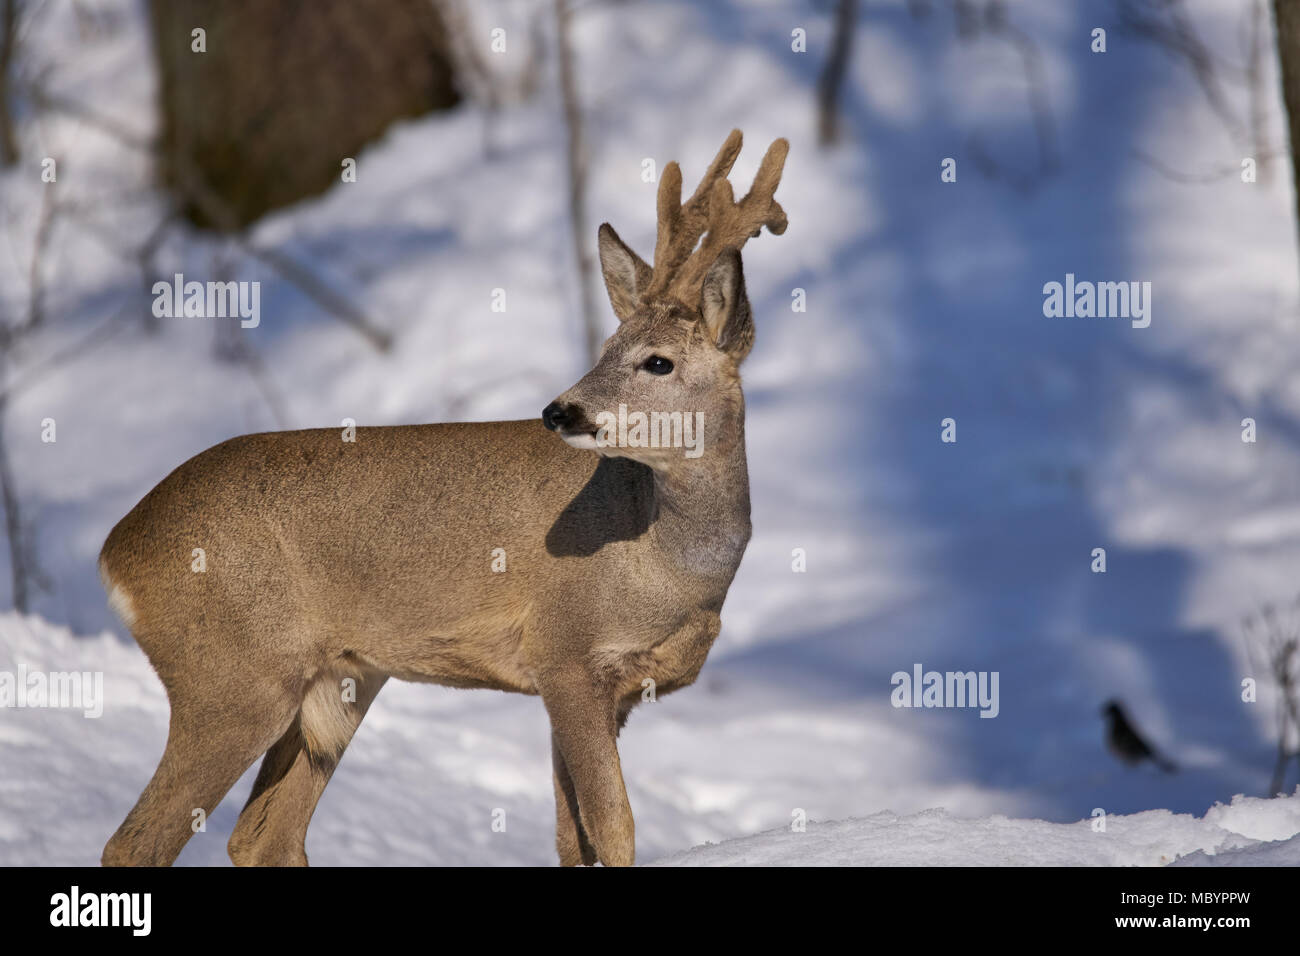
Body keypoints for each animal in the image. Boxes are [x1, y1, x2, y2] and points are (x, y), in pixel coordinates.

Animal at [98, 129, 788, 867]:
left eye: (658, 361)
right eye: (607, 347)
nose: (560, 410)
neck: (668, 566)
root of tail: (116, 550)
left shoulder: (601, 688)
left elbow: (571, 839)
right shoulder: (565, 652)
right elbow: (614, 827)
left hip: (338, 682)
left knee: (263, 836)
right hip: (231, 677)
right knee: (136, 843)